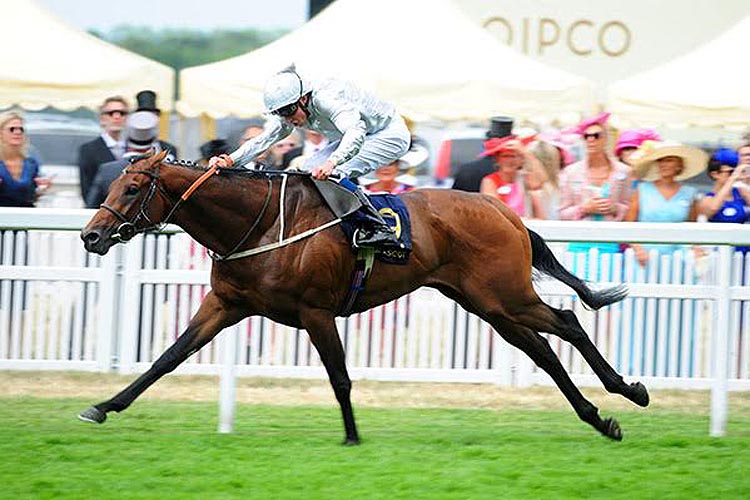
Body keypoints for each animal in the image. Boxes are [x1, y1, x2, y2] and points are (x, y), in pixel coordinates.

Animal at [79, 150, 648, 444]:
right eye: (115, 183)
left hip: (506, 294)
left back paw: (630, 391)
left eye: (133, 188)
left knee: (567, 321)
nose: (91, 235)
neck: (261, 224)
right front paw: (104, 406)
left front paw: (351, 436)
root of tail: (504, 209)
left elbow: (339, 377)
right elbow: (167, 358)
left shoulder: (316, 311)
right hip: (487, 304)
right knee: (543, 349)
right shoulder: (226, 305)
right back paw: (599, 418)